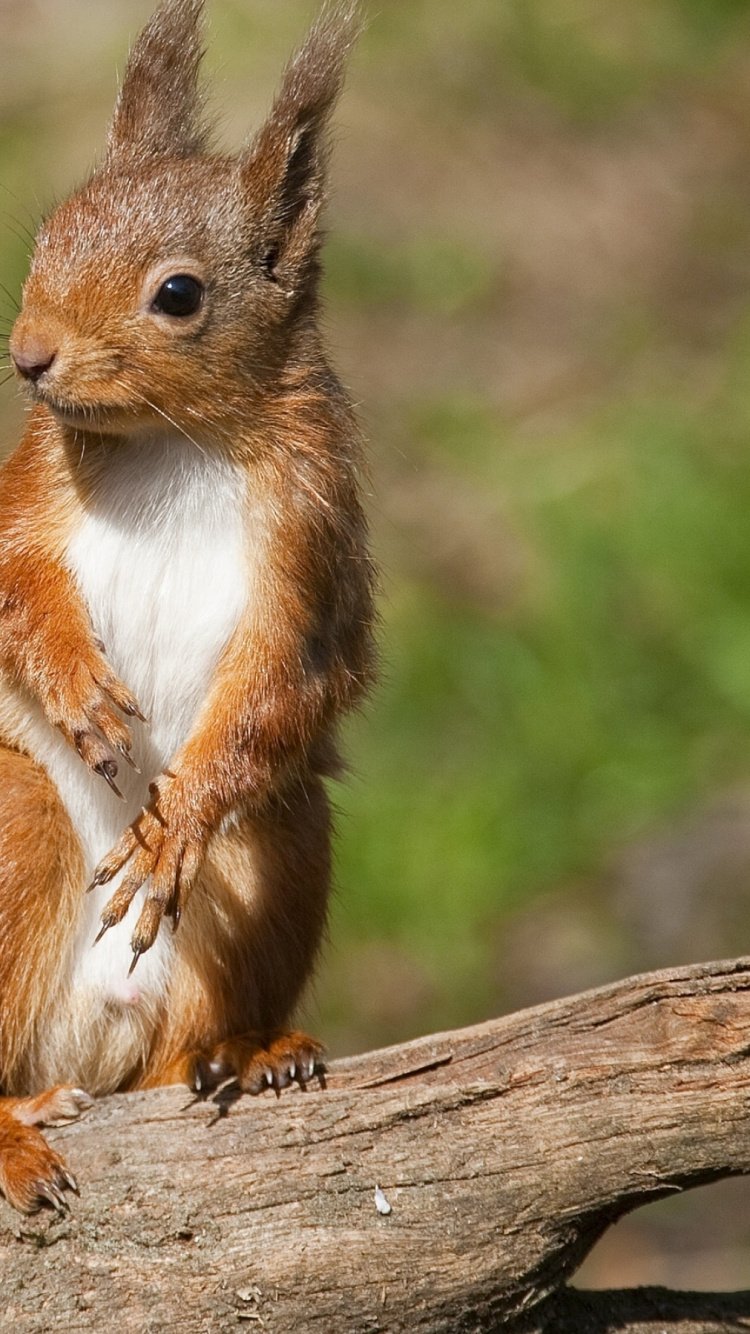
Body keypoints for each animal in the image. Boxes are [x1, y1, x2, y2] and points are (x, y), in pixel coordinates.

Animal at [0, 0, 375, 1213]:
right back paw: (14, 1130)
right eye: (48, 235)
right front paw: (80, 692)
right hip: (15, 828)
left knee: (176, 1048)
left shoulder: (310, 548)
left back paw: (243, 1053)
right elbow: (17, 594)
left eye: (179, 294)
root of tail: (89, 1039)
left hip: (280, 848)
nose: (28, 356)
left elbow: (289, 680)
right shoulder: (26, 496)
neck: (175, 439)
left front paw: (176, 827)